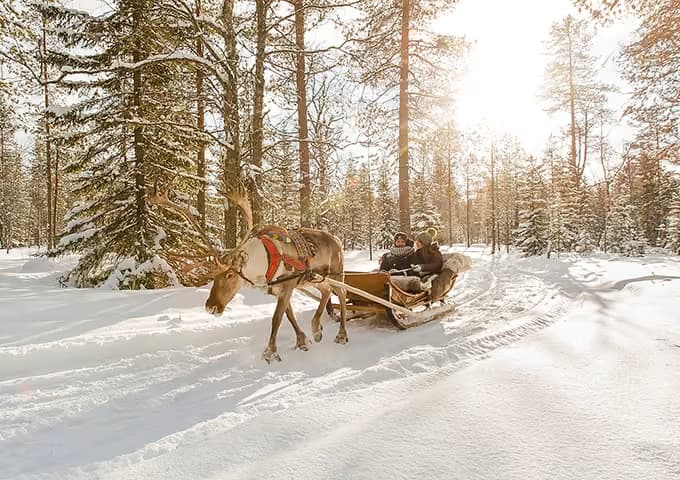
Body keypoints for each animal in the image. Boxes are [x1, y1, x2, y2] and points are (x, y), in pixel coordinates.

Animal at [149, 185, 348, 363]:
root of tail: (338, 239)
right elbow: (289, 315)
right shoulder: (279, 290)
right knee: (326, 292)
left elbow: (276, 319)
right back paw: (317, 329)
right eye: (213, 277)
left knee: (342, 294)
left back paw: (341, 334)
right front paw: (303, 341)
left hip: (336, 273)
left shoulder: (287, 286)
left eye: (230, 275)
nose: (210, 307)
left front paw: (270, 353)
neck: (264, 261)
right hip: (315, 279)